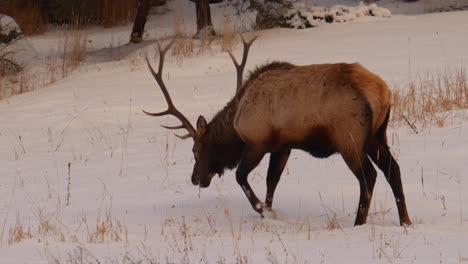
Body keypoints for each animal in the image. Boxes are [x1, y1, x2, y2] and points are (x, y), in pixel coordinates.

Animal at [143, 36, 410, 227]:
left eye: (196, 150)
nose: (195, 178)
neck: (236, 125)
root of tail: (381, 92)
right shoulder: (283, 146)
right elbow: (272, 181)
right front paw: (270, 211)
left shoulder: (258, 142)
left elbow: (241, 176)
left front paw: (262, 209)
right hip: (377, 135)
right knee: (393, 170)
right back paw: (405, 221)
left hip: (349, 138)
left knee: (368, 176)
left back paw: (359, 223)